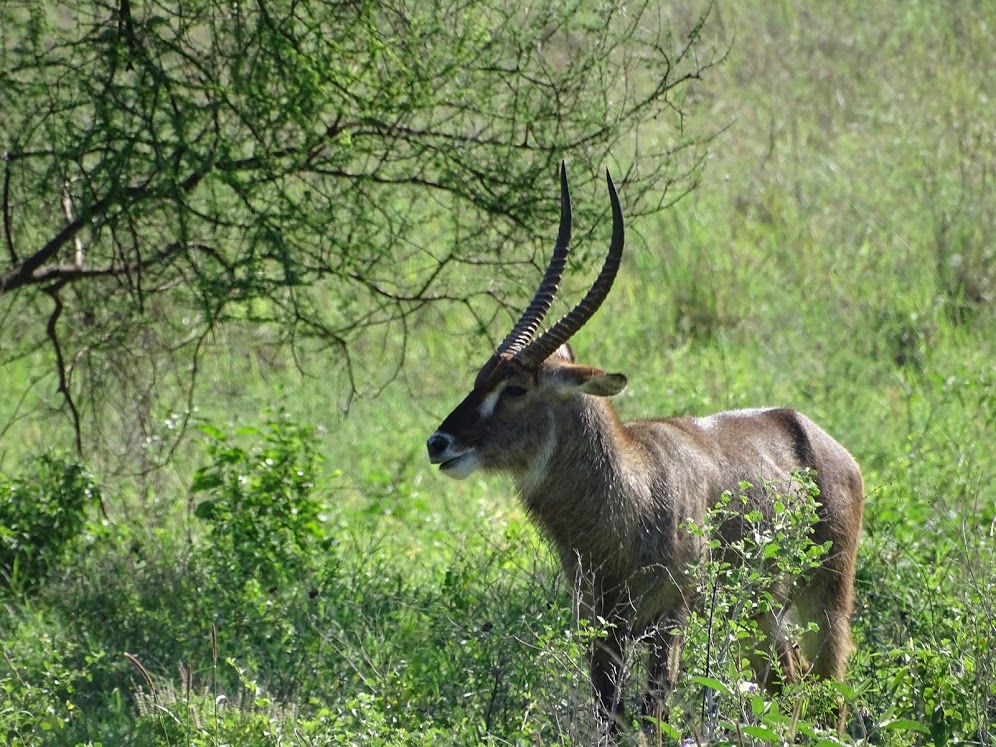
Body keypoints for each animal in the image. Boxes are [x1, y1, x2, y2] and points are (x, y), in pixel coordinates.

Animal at [426, 164, 864, 737]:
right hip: (759, 617)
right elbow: (609, 718)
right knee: (789, 686)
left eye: (516, 388)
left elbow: (654, 715)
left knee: (830, 694)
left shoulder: (667, 622)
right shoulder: (599, 630)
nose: (439, 443)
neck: (630, 489)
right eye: (479, 378)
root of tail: (817, 435)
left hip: (825, 601)